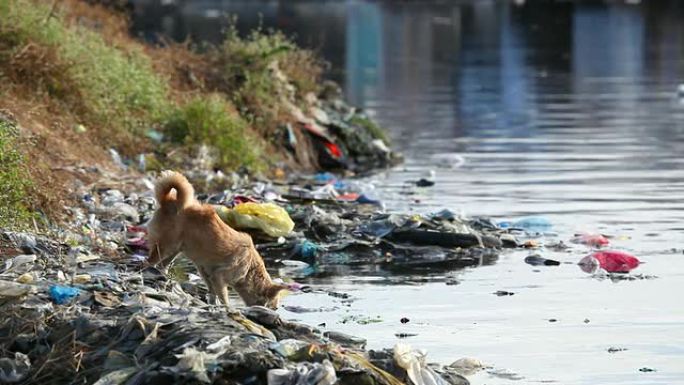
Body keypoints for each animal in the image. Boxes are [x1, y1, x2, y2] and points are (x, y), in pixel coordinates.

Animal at [147, 170, 286, 308]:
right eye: (274, 307)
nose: (275, 311)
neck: (250, 269)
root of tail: (168, 201)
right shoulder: (218, 277)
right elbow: (224, 298)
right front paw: (226, 308)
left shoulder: (206, 272)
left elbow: (212, 292)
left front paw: (213, 304)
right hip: (166, 247)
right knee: (148, 262)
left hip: (174, 251)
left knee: (161, 266)